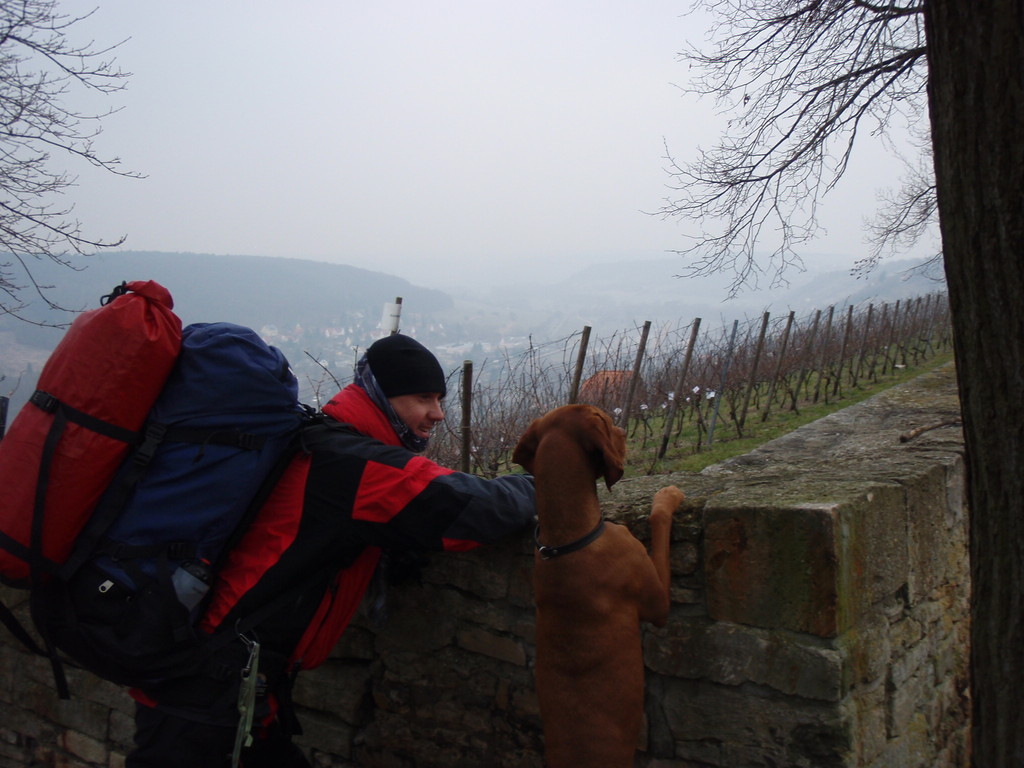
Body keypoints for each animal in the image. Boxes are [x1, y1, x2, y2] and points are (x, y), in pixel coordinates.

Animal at [516, 405, 684, 765]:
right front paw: (667, 496)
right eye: (606, 420)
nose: (623, 430)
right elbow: (658, 522)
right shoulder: (658, 601)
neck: (566, 540)